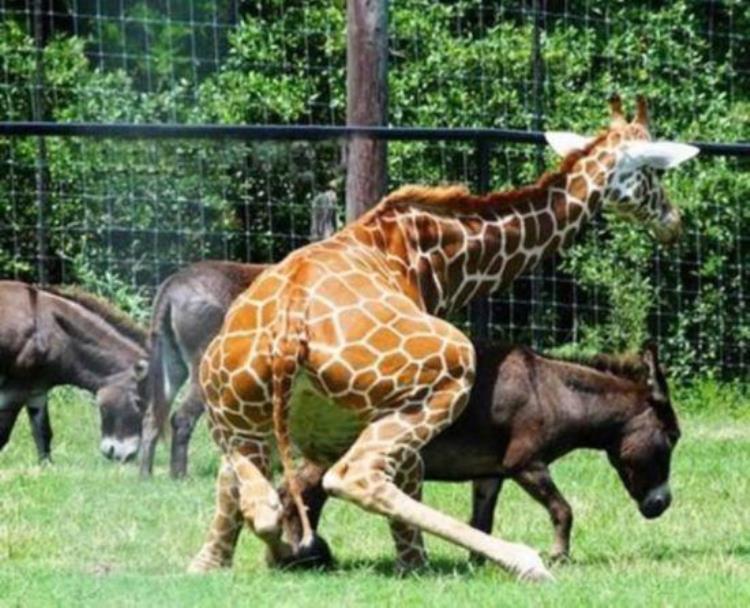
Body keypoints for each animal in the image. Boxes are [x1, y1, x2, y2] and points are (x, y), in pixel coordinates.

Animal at [188, 95, 700, 580]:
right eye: (654, 174)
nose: (673, 221)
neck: (443, 257)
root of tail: (291, 327)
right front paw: (415, 562)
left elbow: (234, 492)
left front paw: (235, 559)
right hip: (447, 374)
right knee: (354, 477)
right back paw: (519, 561)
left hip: (234, 413)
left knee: (260, 500)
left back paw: (257, 556)